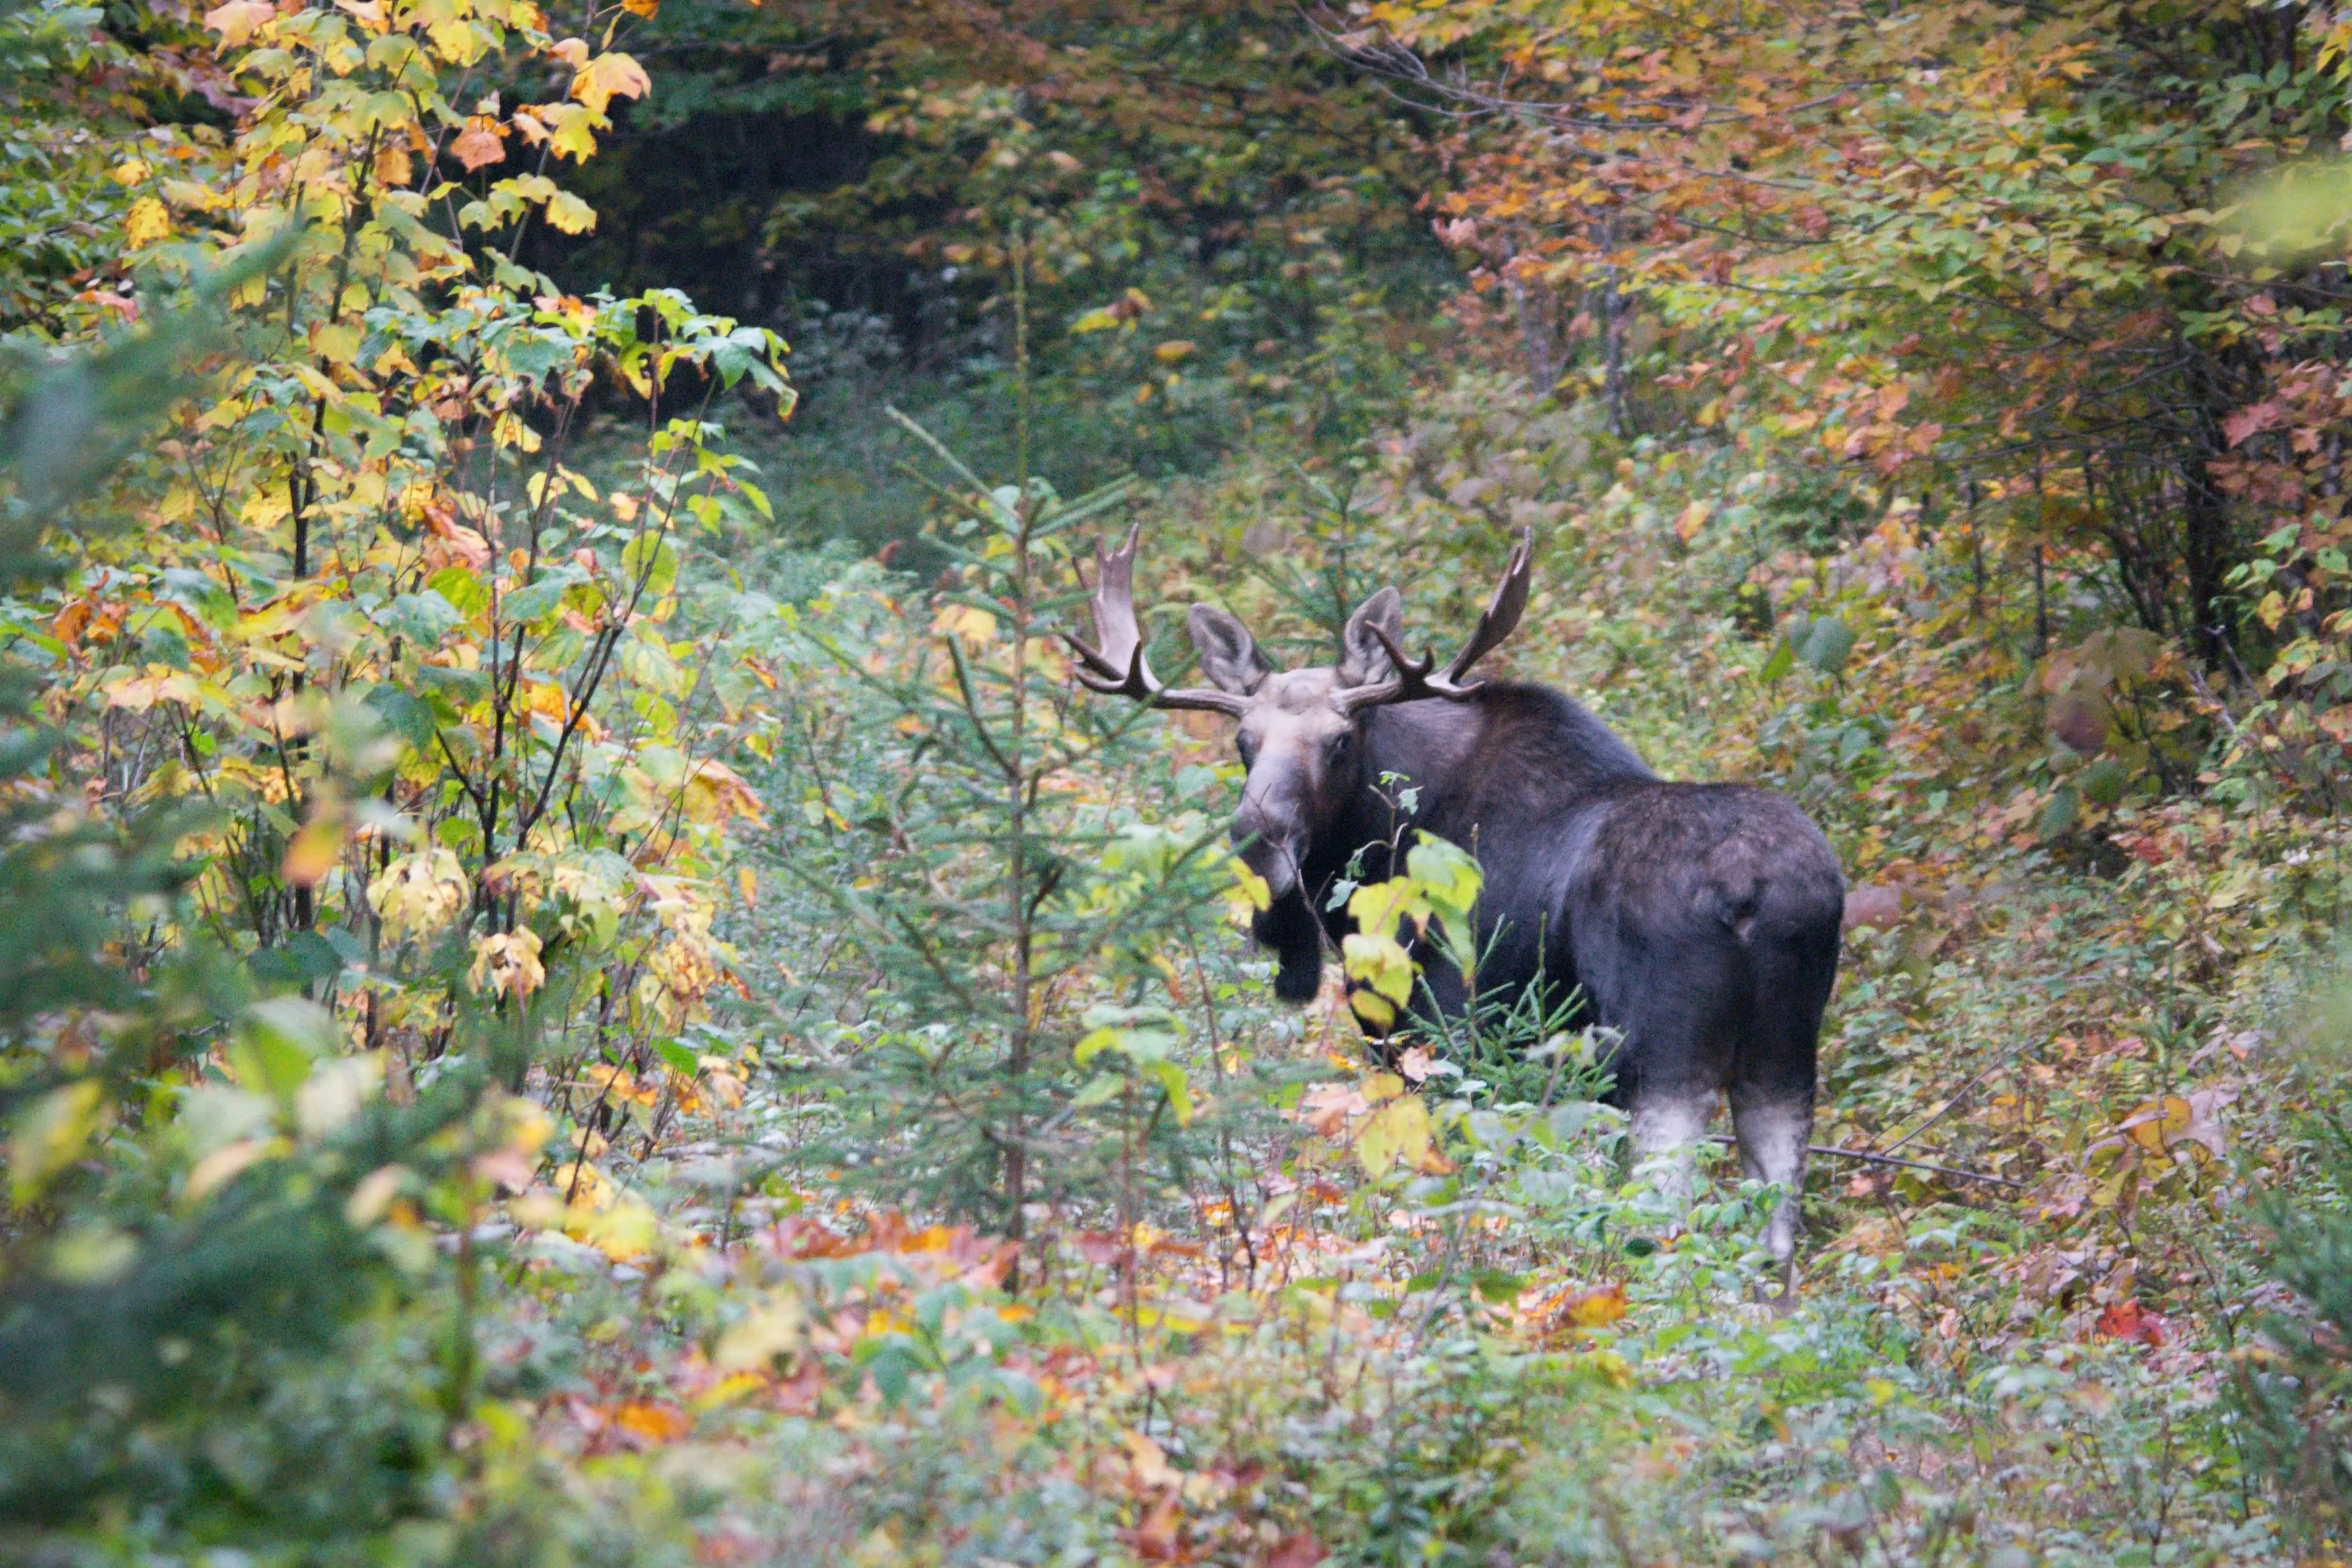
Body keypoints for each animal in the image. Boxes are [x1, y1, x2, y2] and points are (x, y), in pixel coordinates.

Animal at [1064, 525, 1846, 1268]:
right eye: (1243, 740)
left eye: (1341, 739)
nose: (1259, 842)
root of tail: (1752, 895)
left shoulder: (1441, 1029)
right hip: (1783, 1053)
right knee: (1777, 1234)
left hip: (1660, 1049)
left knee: (1663, 1217)